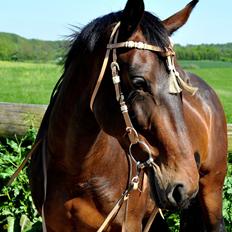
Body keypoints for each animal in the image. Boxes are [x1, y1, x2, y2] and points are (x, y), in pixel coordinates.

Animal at [29, 0, 227, 231]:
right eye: (139, 82)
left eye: (180, 81)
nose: (185, 184)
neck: (76, 173)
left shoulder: (129, 223)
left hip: (212, 190)